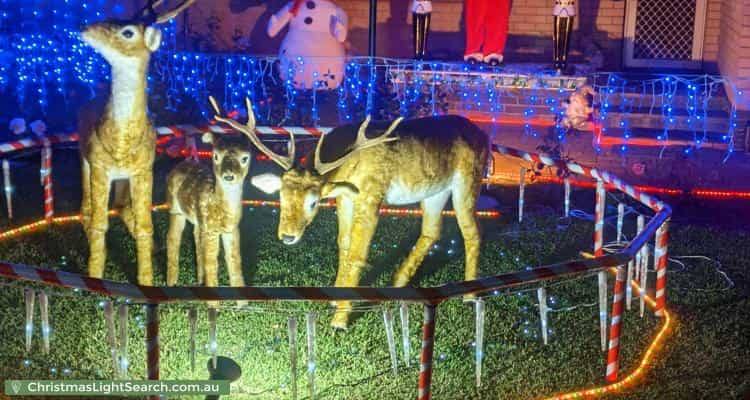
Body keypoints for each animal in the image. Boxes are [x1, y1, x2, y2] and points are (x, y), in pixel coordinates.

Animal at [78, 0, 197, 284]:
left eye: (128, 32)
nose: (85, 28)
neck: (122, 141)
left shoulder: (143, 169)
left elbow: (145, 225)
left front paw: (146, 279)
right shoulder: (99, 167)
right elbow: (99, 223)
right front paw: (94, 274)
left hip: (123, 178)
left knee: (121, 206)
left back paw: (154, 248)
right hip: (84, 160)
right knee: (86, 208)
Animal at [212, 97, 494, 328]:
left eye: (314, 202)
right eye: (281, 196)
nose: (288, 236)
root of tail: (483, 135)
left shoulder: (371, 195)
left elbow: (358, 252)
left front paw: (340, 319)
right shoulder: (345, 197)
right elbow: (344, 244)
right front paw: (335, 298)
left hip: (469, 180)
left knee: (472, 231)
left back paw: (470, 295)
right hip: (435, 190)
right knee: (432, 230)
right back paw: (398, 282)